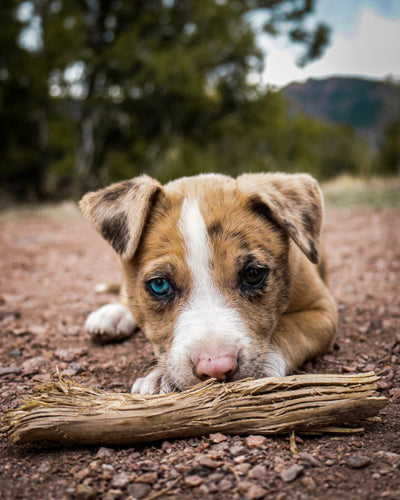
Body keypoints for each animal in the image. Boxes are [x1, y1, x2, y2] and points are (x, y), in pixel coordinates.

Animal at [80, 172, 338, 394]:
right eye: (159, 285)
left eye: (254, 274)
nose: (216, 368)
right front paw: (162, 377)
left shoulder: (322, 311)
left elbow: (288, 329)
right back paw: (112, 314)